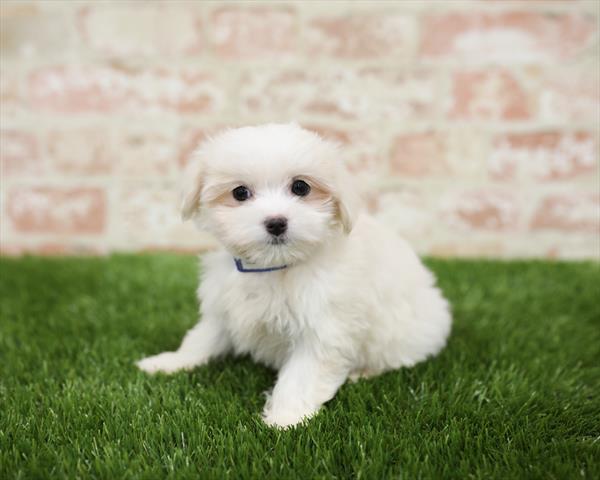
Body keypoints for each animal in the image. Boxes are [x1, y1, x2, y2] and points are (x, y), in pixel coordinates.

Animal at [138, 123, 450, 428]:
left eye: (301, 187)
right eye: (240, 193)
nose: (276, 222)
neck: (275, 266)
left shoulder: (323, 328)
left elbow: (302, 376)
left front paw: (285, 418)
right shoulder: (224, 308)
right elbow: (202, 338)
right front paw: (170, 362)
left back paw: (362, 372)